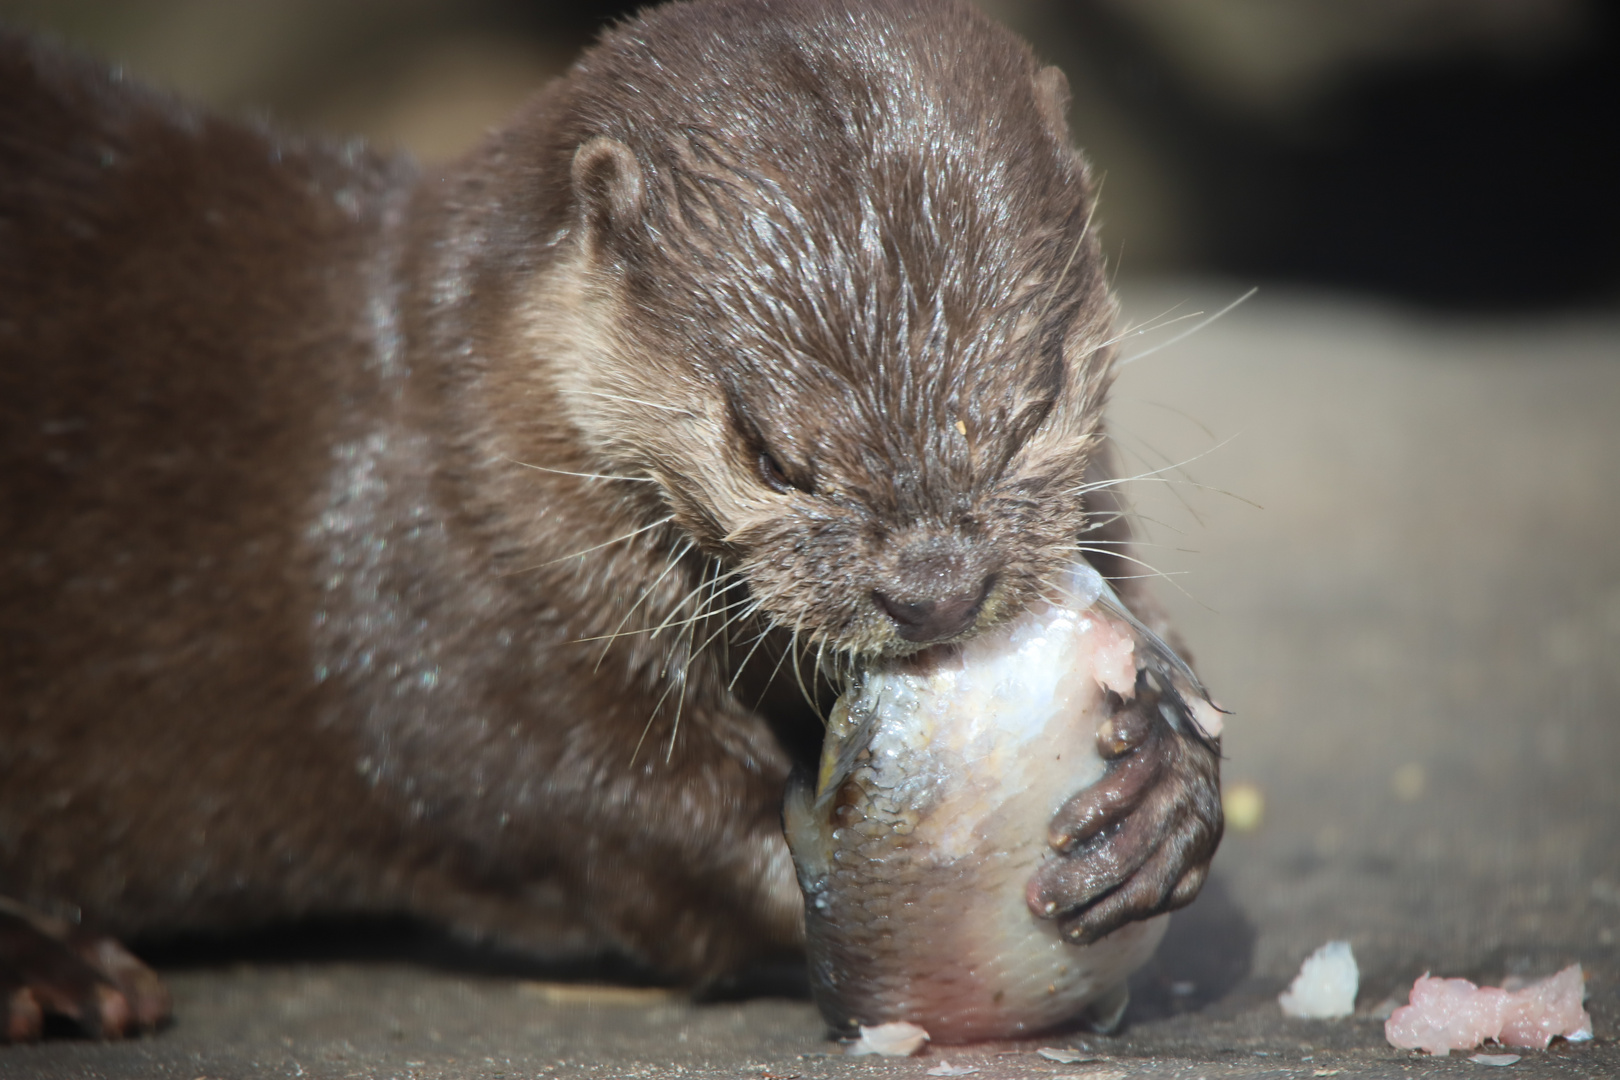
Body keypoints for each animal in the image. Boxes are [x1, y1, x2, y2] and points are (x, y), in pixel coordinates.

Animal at [0, 0, 1218, 1049]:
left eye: (1034, 404)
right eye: (770, 457)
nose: (936, 587)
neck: (456, 431)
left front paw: (1166, 790)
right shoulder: (456, 616)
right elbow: (605, 812)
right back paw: (59, 969)